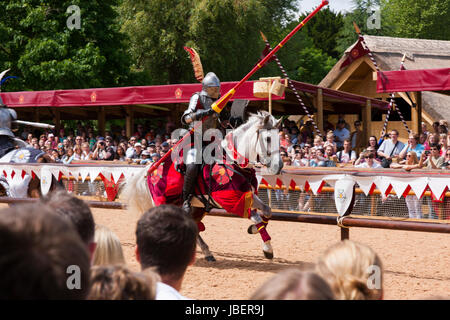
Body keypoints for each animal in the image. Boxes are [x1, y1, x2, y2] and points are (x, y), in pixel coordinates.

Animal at [121, 111, 284, 262]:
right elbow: (256, 217)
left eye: (279, 138)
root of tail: (148, 171)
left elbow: (267, 211)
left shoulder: (248, 195)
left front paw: (255, 232)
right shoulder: (232, 200)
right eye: (268, 138)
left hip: (195, 207)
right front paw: (267, 249)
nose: (279, 166)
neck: (232, 160)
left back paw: (206, 252)